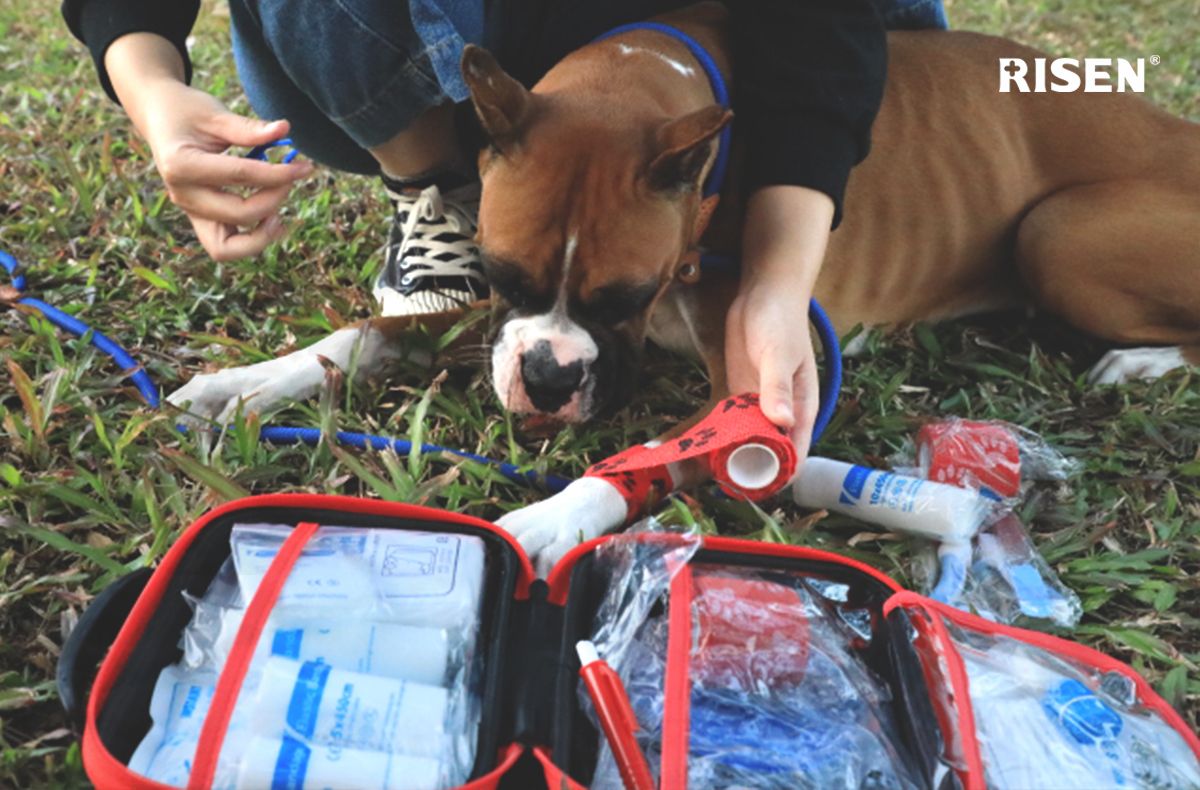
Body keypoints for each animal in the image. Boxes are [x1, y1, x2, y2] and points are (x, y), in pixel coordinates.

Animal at [169, 0, 1200, 566]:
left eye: (628, 297)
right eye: (499, 272)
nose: (545, 377)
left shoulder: (750, 391)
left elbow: (644, 461)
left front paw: (551, 517)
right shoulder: (483, 314)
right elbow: (369, 334)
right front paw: (250, 382)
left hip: (1054, 233)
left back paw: (1141, 365)